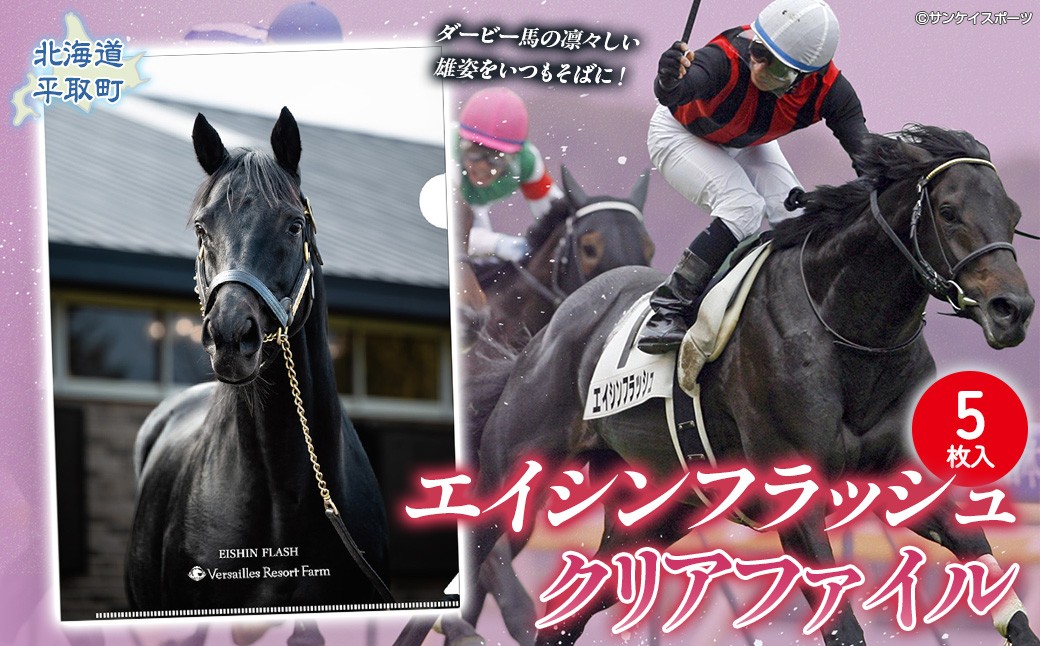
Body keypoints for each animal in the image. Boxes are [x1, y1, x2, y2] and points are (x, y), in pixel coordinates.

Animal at [465, 125, 1037, 646]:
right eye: (949, 210)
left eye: (1013, 214)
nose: (1013, 309)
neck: (847, 332)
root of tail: (556, 325)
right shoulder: (795, 499)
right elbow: (843, 626)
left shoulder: (904, 480)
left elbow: (993, 579)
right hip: (513, 470)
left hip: (651, 516)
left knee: (565, 618)